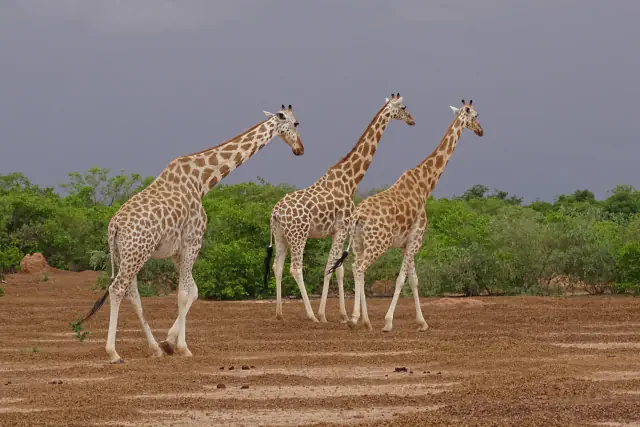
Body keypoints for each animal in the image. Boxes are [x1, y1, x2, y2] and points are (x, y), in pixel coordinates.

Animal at [78, 104, 304, 363]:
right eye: (296, 124)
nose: (300, 149)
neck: (202, 181)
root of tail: (113, 227)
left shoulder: (178, 252)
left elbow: (191, 292)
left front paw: (168, 342)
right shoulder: (193, 242)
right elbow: (185, 293)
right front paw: (182, 347)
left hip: (128, 255)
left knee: (132, 294)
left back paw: (154, 348)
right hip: (136, 253)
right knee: (117, 289)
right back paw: (114, 353)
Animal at [263, 94, 415, 323]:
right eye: (404, 107)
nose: (412, 120)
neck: (350, 180)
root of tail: (275, 213)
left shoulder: (339, 231)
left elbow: (338, 268)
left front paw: (341, 314)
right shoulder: (342, 228)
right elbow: (332, 267)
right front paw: (328, 314)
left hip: (281, 236)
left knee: (277, 267)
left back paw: (279, 313)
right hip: (299, 235)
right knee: (296, 269)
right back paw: (311, 315)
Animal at [330, 100, 484, 332]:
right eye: (475, 115)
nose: (481, 130)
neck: (425, 185)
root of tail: (358, 216)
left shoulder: (407, 243)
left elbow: (413, 280)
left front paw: (422, 323)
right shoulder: (416, 239)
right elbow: (401, 279)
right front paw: (388, 322)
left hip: (358, 243)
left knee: (357, 269)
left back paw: (366, 321)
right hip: (377, 243)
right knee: (359, 268)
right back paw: (355, 319)